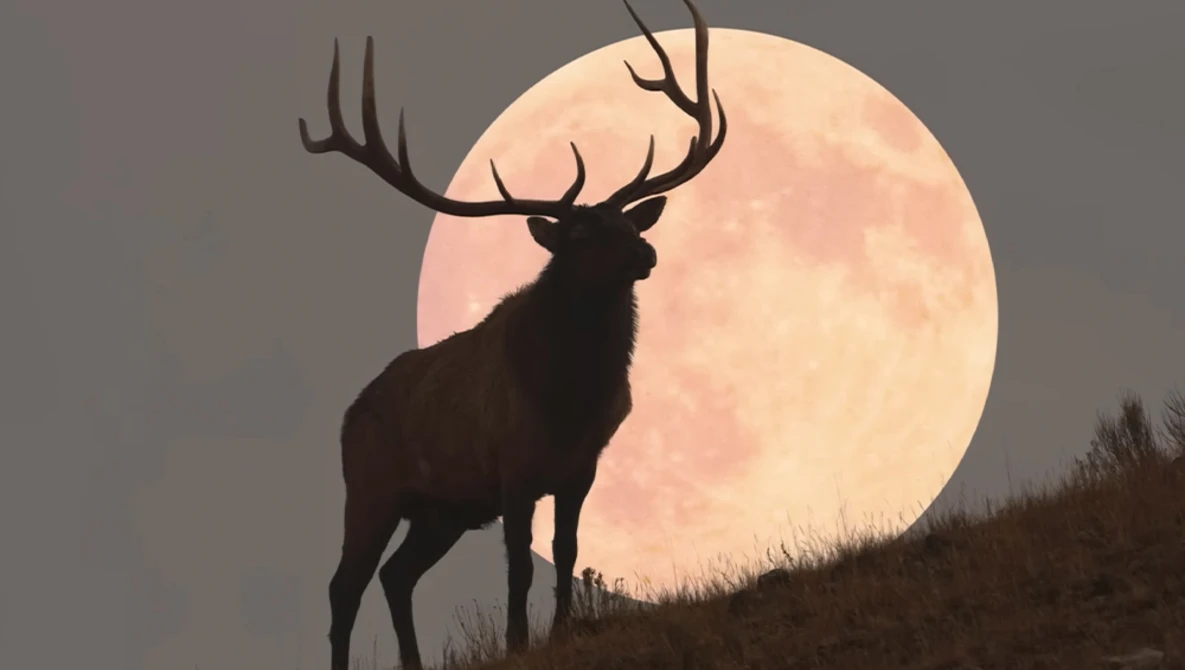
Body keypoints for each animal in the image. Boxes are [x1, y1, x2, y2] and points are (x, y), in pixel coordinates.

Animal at [297, 1, 726, 668]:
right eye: (580, 235)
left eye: (629, 223)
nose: (646, 252)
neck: (570, 398)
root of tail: (349, 414)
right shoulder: (513, 468)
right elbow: (520, 568)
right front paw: (518, 643)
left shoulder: (581, 468)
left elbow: (567, 553)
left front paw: (560, 630)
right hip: (370, 485)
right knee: (345, 586)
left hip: (442, 511)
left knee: (396, 576)